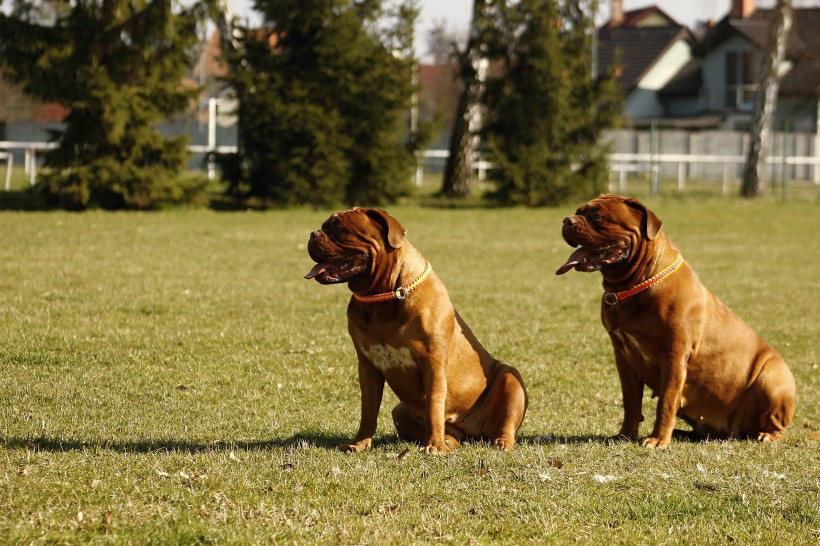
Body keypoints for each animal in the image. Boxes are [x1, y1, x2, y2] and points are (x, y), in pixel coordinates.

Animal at [304, 207, 528, 450]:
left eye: (338, 229)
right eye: (324, 226)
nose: (313, 234)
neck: (383, 297)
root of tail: (474, 433)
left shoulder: (433, 361)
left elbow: (434, 406)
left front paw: (434, 446)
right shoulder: (368, 365)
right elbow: (368, 411)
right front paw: (360, 443)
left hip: (511, 378)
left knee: (506, 423)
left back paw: (500, 441)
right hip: (400, 411)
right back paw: (448, 440)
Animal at [556, 196, 796, 446]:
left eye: (597, 216)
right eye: (578, 211)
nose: (567, 220)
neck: (635, 284)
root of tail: (733, 432)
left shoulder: (673, 356)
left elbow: (666, 402)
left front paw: (658, 440)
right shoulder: (624, 358)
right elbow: (631, 403)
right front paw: (625, 435)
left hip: (773, 378)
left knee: (776, 424)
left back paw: (767, 434)